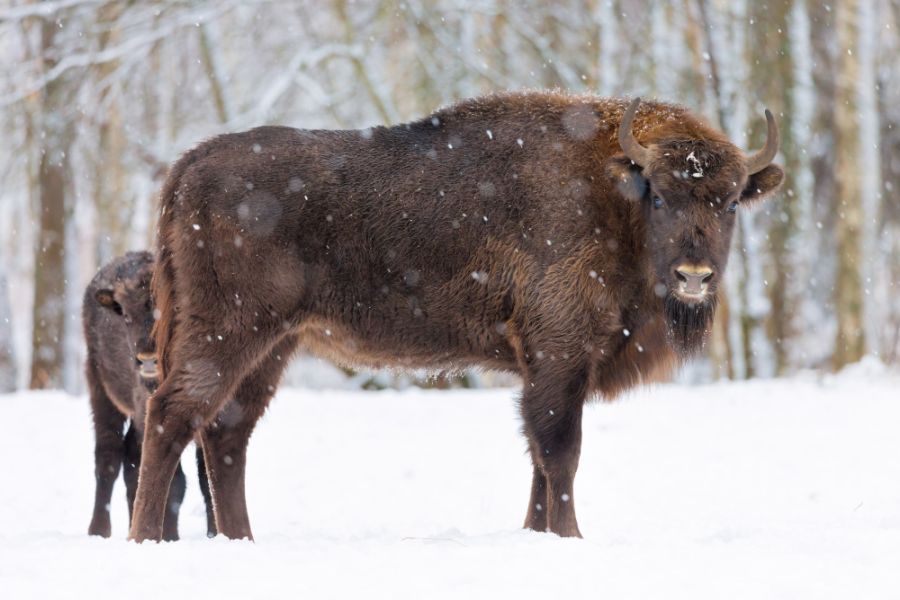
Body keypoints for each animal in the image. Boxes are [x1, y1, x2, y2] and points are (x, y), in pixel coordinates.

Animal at [126, 91, 780, 540]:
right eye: (662, 197)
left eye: (728, 202)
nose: (693, 277)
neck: (615, 194)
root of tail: (189, 165)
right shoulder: (560, 355)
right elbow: (560, 451)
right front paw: (570, 537)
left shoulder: (546, 367)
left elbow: (539, 456)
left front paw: (536, 534)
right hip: (227, 332)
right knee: (172, 415)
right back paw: (146, 538)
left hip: (275, 345)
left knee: (226, 433)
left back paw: (242, 540)